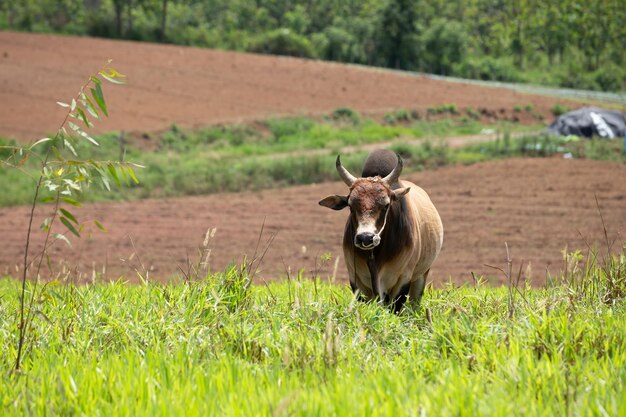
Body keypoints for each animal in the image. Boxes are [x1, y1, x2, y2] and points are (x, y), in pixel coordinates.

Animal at [316, 150, 444, 312]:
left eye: (386, 205)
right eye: (350, 205)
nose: (366, 238)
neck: (374, 257)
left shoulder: (403, 278)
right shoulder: (356, 280)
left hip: (421, 275)